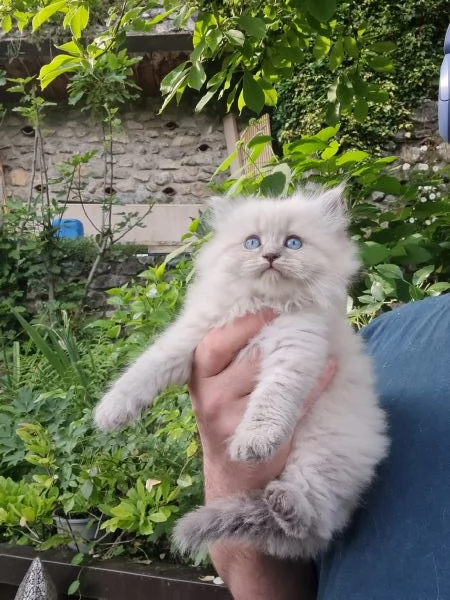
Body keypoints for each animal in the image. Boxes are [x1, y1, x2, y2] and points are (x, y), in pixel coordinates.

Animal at [96, 186, 390, 556]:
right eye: (253, 242)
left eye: (293, 243)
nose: (270, 256)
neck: (263, 302)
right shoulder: (191, 338)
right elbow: (144, 371)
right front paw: (110, 413)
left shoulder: (295, 351)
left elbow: (269, 403)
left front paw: (252, 443)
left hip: (322, 455)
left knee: (314, 520)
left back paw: (284, 503)